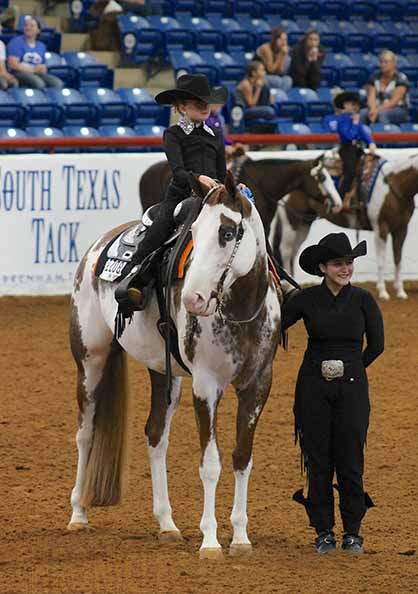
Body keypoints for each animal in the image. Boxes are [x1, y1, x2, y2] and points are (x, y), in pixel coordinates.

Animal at [68, 170, 282, 556]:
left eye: (228, 232)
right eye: (194, 231)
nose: (193, 299)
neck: (239, 311)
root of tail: (98, 246)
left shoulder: (258, 385)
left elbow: (242, 457)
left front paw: (240, 538)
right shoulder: (206, 385)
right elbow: (210, 464)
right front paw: (210, 541)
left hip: (163, 373)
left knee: (156, 436)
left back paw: (167, 524)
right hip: (90, 359)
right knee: (86, 433)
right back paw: (78, 514)